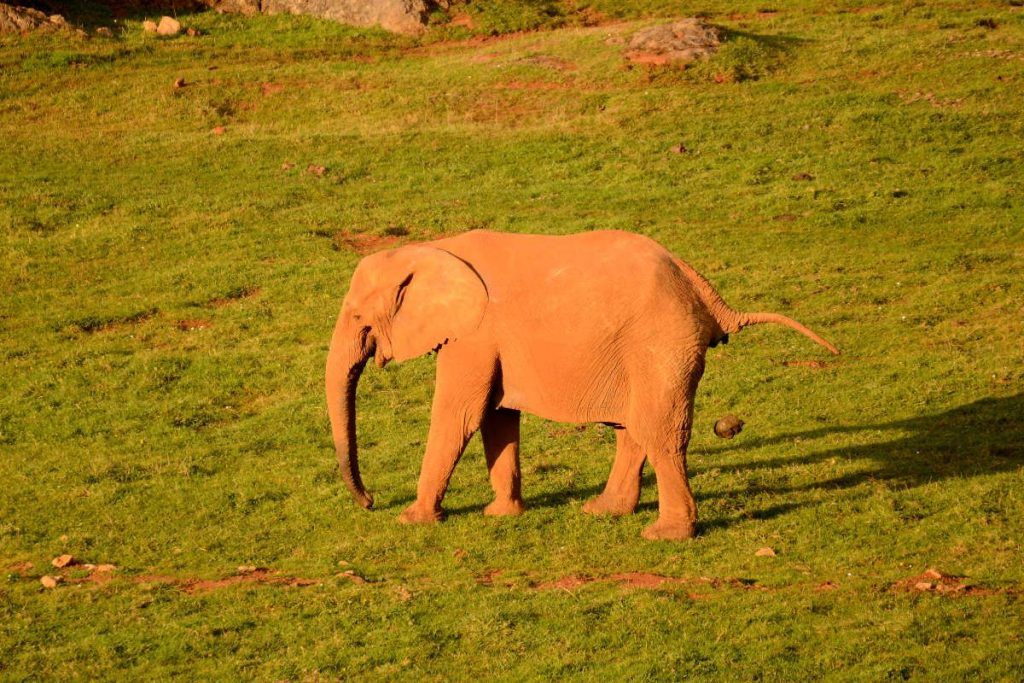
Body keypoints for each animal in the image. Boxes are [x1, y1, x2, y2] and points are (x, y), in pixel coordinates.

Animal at [325, 230, 839, 540]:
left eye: (359, 318)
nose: (370, 503)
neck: (431, 249)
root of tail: (707, 293)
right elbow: (497, 417)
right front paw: (501, 516)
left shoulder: (473, 334)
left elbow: (461, 413)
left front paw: (412, 520)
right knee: (633, 430)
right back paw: (603, 511)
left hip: (663, 344)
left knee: (660, 432)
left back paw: (666, 535)